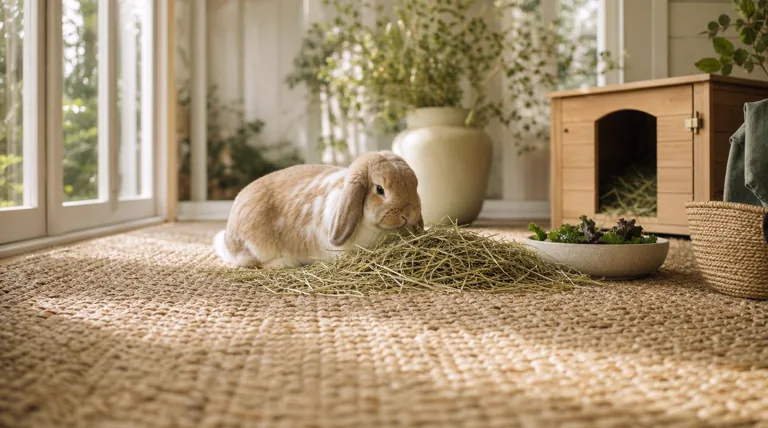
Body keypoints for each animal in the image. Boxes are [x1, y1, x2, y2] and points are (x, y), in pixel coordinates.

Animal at [212, 150, 423, 269]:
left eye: (415, 185)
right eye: (380, 189)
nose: (408, 214)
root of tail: (228, 237)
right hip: (258, 246)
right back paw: (285, 263)